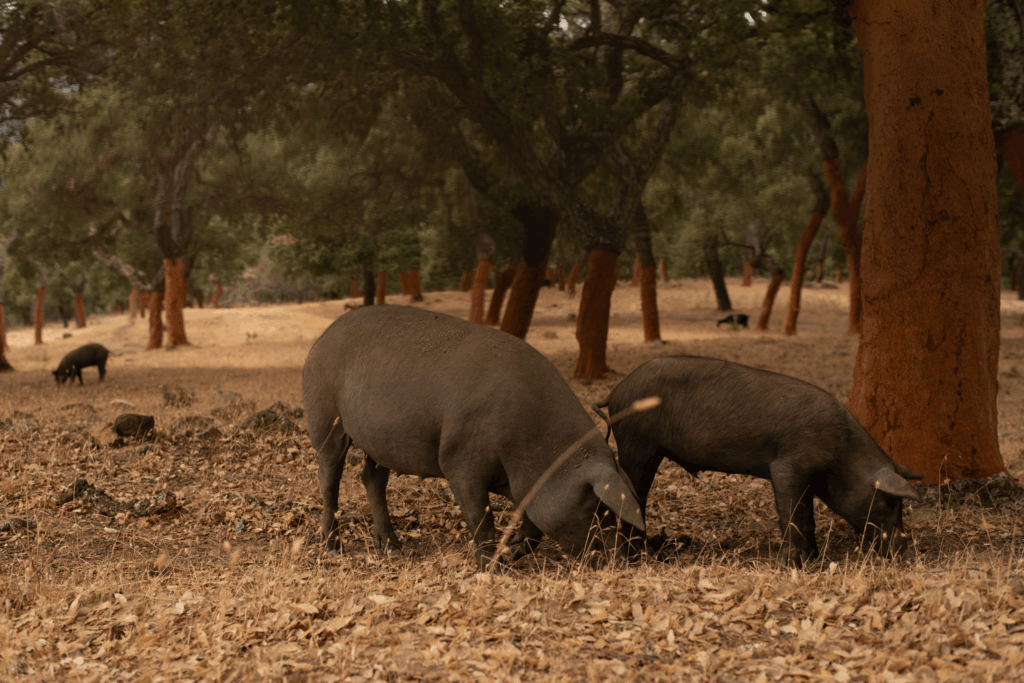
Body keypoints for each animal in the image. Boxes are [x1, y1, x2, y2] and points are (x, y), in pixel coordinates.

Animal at [303, 305, 645, 568]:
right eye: (599, 508)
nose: (624, 559)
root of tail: (321, 338)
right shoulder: (459, 460)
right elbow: (481, 517)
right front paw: (493, 568)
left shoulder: (520, 484)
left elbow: (532, 520)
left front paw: (514, 550)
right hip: (325, 417)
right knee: (329, 477)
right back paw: (333, 548)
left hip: (378, 441)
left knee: (371, 477)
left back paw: (394, 549)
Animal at [593, 356, 923, 566]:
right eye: (891, 501)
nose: (907, 556)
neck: (842, 454)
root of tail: (617, 390)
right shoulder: (787, 466)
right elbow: (792, 514)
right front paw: (791, 565)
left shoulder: (809, 477)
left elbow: (808, 516)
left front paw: (814, 559)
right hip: (637, 444)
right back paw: (638, 557)